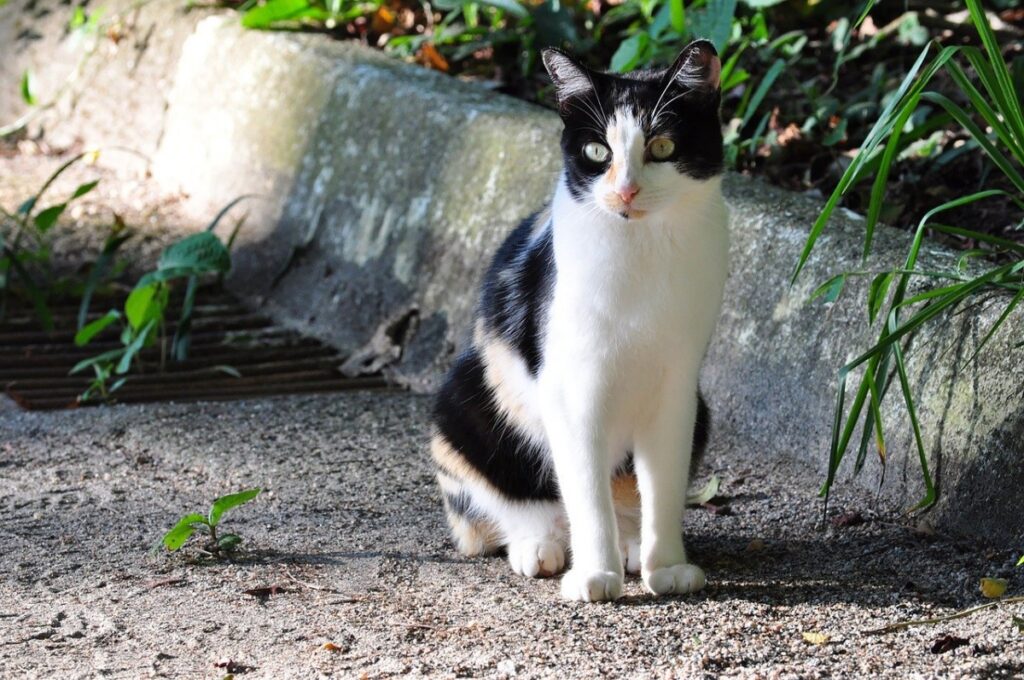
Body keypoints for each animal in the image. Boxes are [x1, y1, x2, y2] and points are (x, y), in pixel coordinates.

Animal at [430, 39, 729, 602]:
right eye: (597, 153)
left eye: (662, 147)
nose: (626, 191)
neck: (639, 251)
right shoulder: (572, 387)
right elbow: (586, 494)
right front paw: (595, 575)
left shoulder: (677, 387)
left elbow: (663, 485)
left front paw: (666, 567)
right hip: (462, 403)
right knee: (517, 500)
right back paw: (540, 545)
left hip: (701, 410)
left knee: (628, 492)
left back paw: (631, 544)